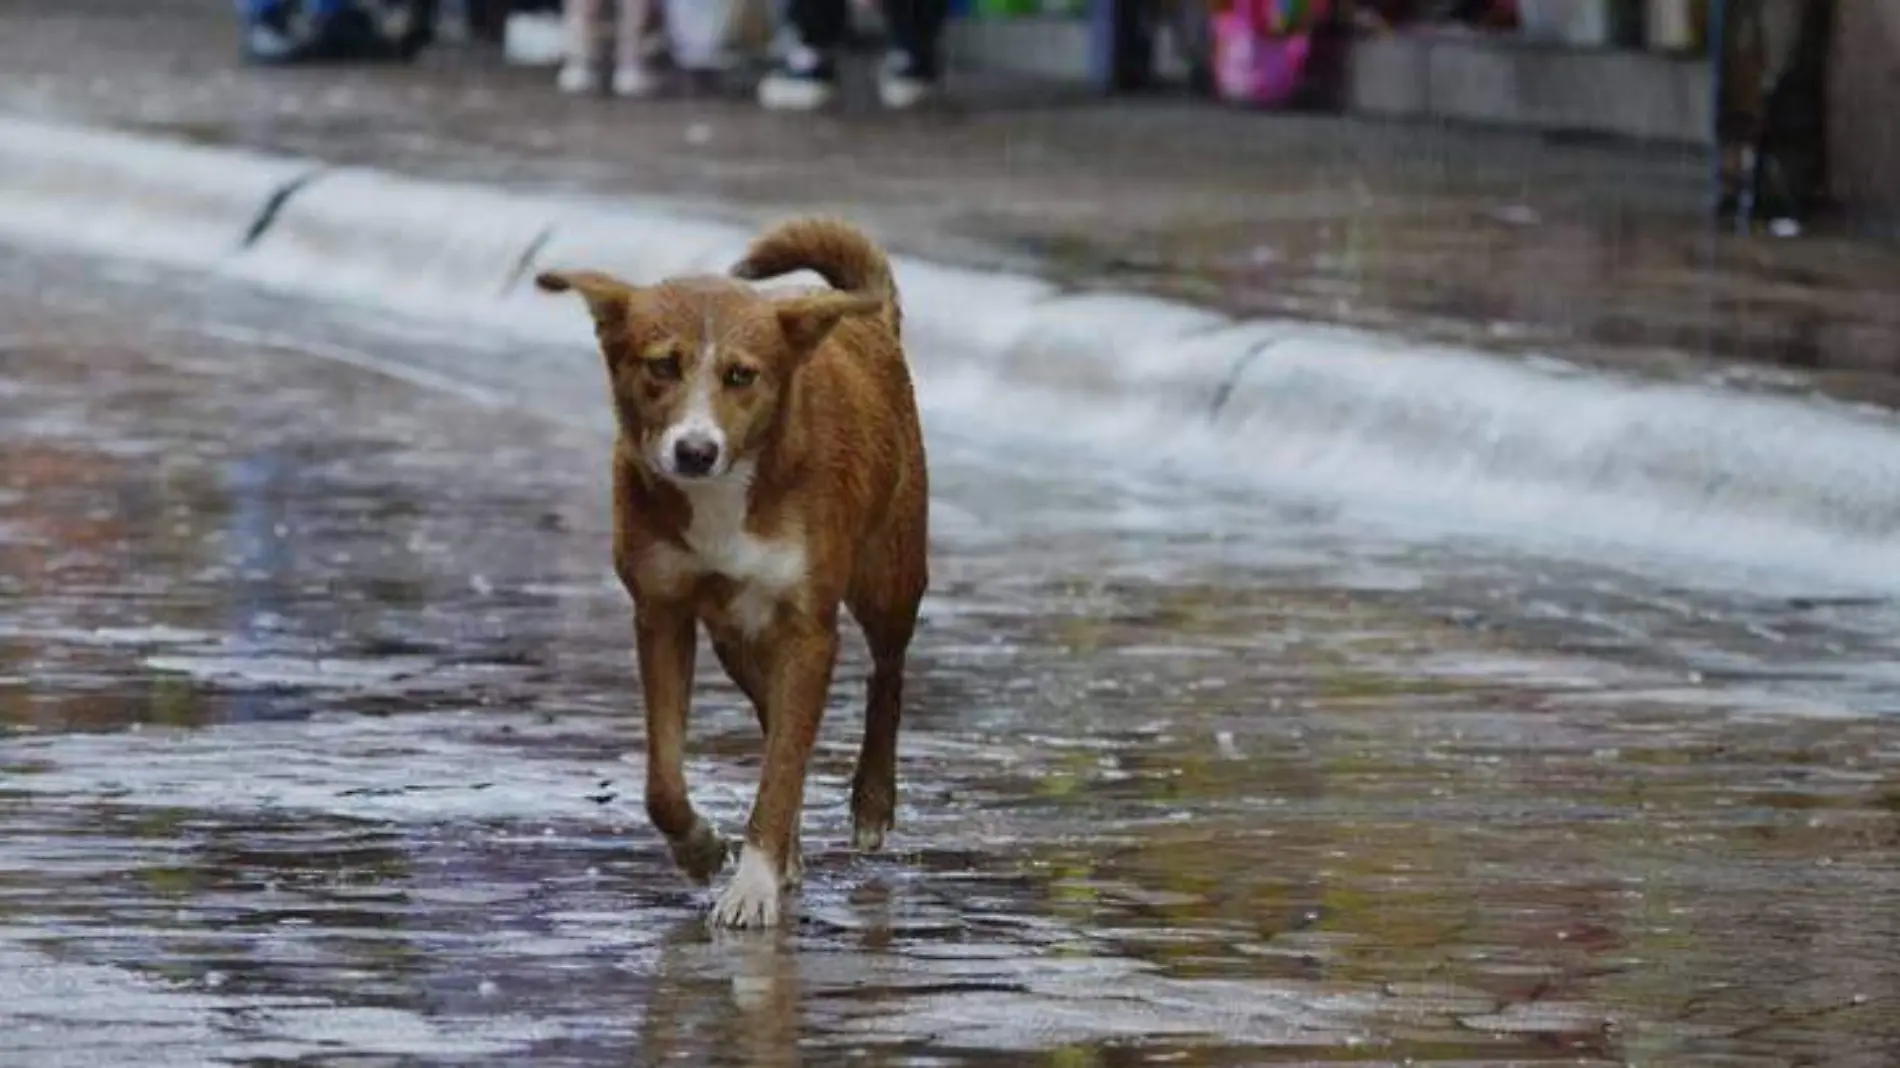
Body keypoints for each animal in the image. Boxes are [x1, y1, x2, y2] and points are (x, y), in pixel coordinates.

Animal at [535, 216, 927, 923]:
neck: (726, 490)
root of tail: (869, 319)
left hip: (889, 577)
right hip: (738, 636)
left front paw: (754, 885)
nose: (695, 451)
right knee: (777, 718)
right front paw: (699, 848)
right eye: (663, 365)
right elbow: (666, 778)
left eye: (742, 376)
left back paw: (872, 803)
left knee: (886, 673)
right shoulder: (661, 611)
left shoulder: (807, 626)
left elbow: (782, 768)